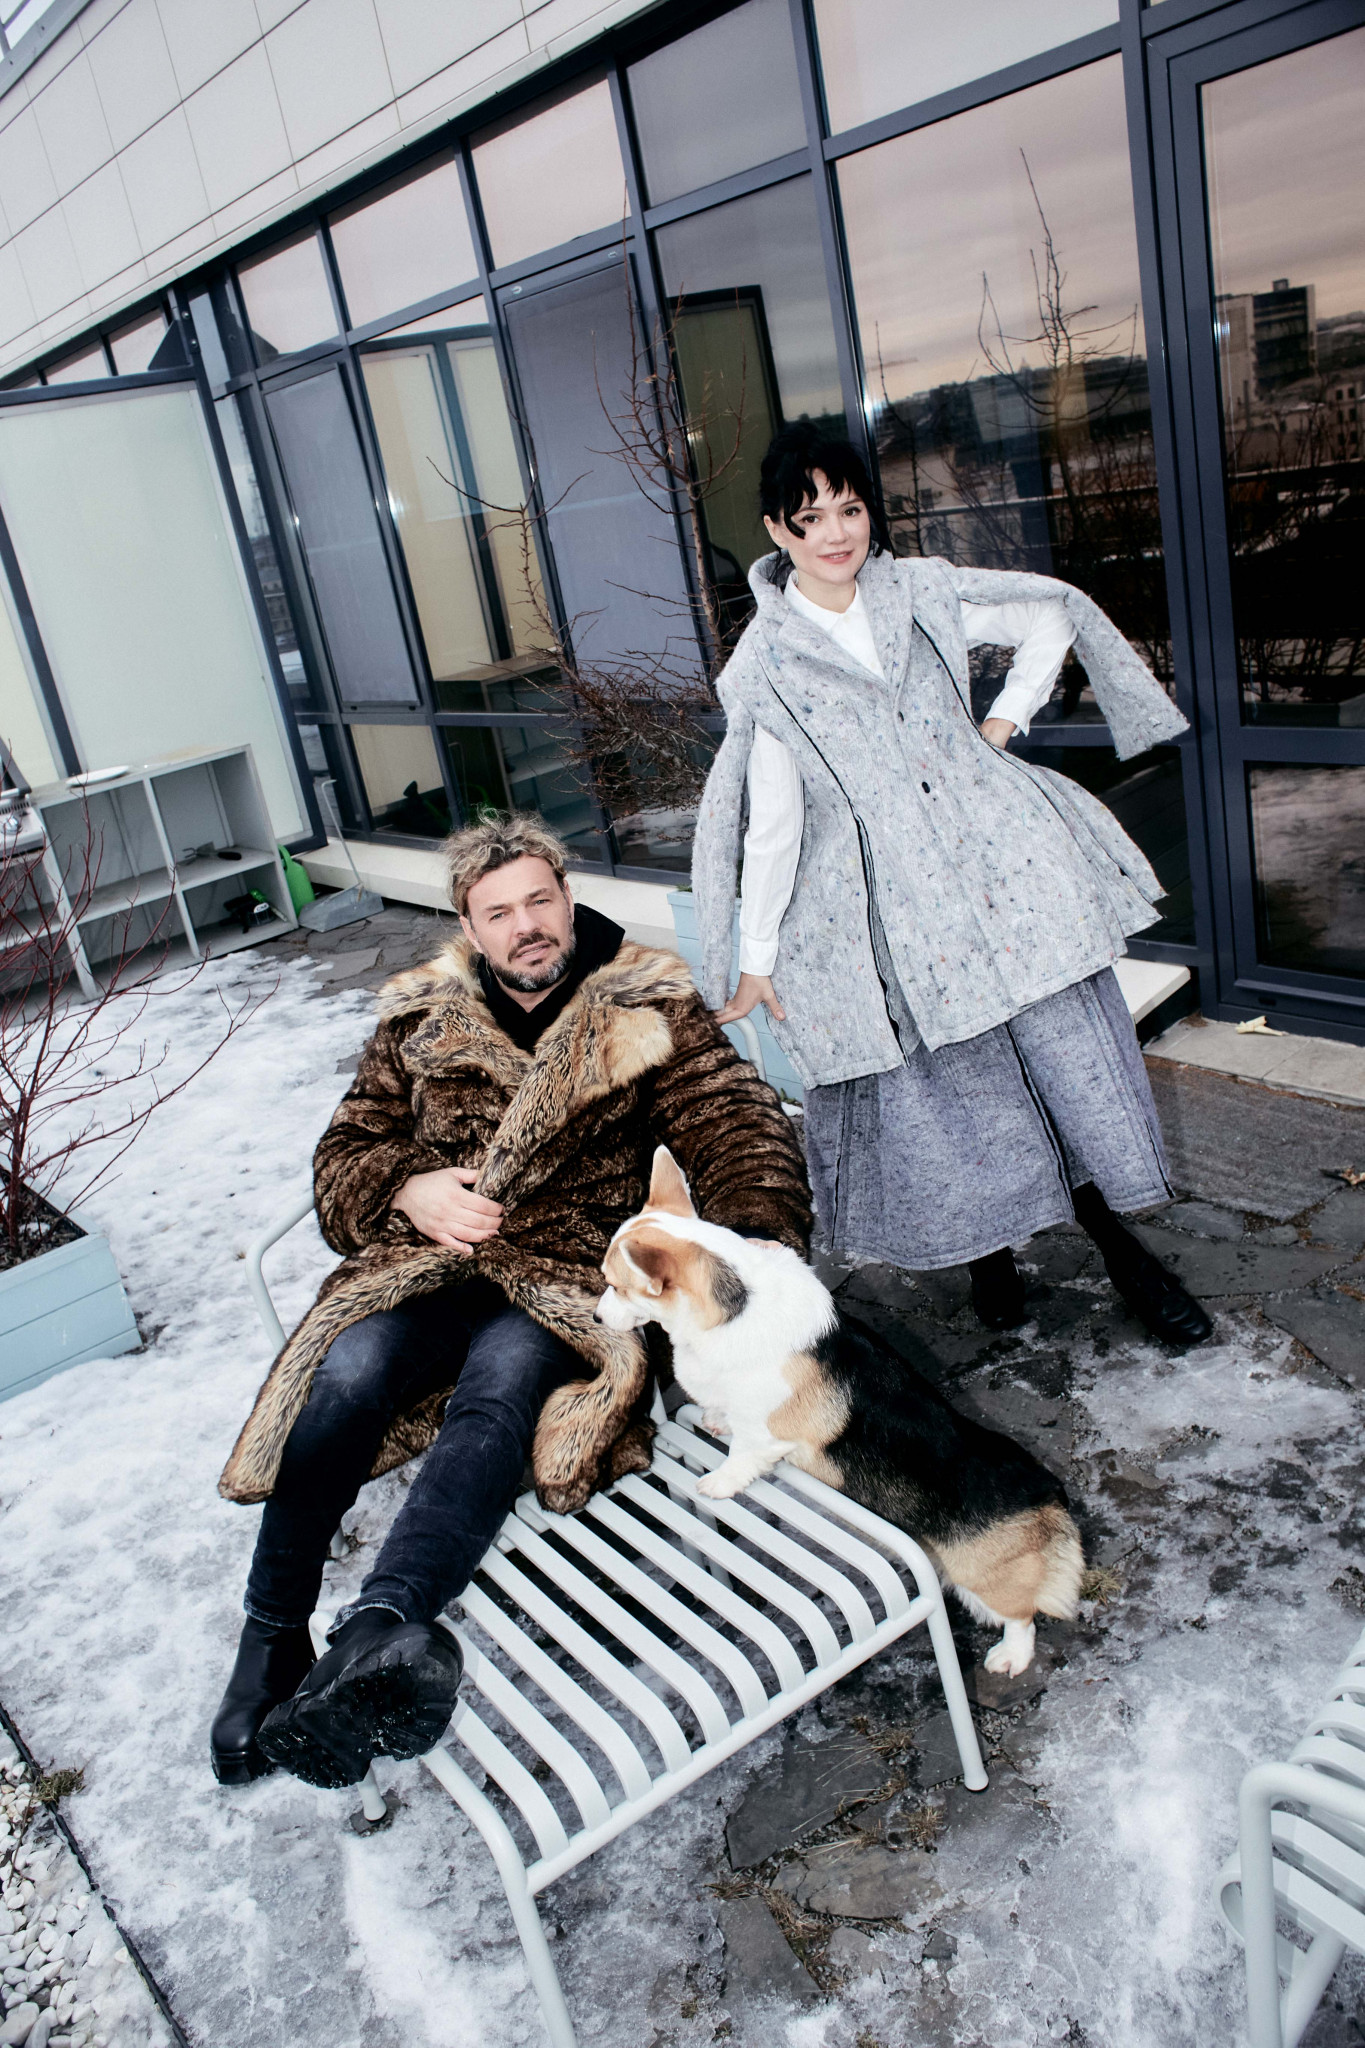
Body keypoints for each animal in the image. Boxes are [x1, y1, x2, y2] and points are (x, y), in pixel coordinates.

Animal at [596, 1148, 1083, 1676]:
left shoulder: (764, 1432)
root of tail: (1048, 1490)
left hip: (982, 1579)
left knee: (1021, 1614)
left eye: (616, 1287)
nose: (597, 1317)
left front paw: (719, 1483)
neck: (732, 1309)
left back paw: (1011, 1656)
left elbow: (743, 1454)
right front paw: (716, 1422)